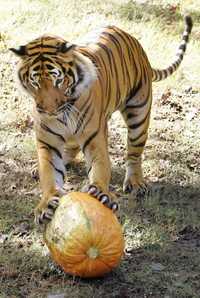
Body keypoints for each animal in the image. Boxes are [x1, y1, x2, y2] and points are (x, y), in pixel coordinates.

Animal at [10, 14, 193, 224]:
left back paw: (135, 183)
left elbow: (100, 166)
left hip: (139, 113)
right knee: (71, 147)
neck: (64, 113)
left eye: (58, 80)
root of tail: (131, 38)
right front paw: (46, 203)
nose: (49, 110)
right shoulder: (48, 142)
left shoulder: (94, 136)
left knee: (134, 153)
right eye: (34, 82)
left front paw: (100, 192)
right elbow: (49, 172)